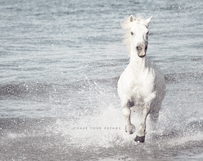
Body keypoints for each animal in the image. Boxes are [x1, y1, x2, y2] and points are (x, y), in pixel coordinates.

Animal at [116, 15, 166, 143]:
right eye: (132, 32)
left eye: (147, 32)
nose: (141, 49)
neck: (137, 75)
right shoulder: (126, 98)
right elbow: (126, 112)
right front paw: (129, 129)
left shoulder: (150, 98)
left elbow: (145, 111)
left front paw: (140, 135)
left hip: (157, 107)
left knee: (153, 119)